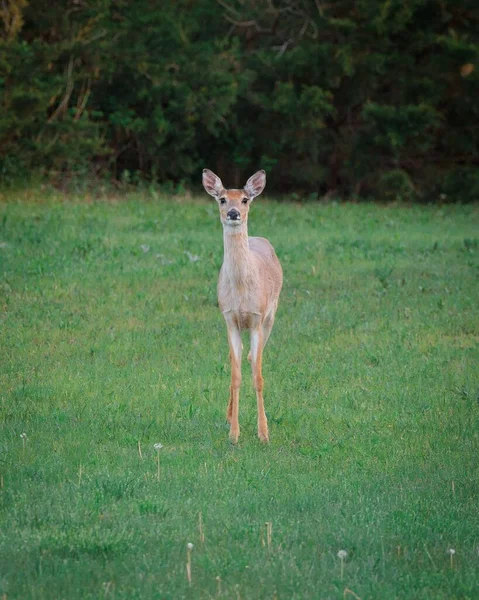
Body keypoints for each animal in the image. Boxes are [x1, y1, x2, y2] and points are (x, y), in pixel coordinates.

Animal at [202, 166, 284, 442]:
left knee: (253, 357)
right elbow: (235, 375)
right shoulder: (229, 318)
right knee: (235, 360)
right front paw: (234, 433)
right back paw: (229, 416)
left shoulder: (257, 318)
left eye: (246, 199)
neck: (240, 290)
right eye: (222, 199)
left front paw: (263, 433)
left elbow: (258, 377)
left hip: (272, 315)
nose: (233, 213)